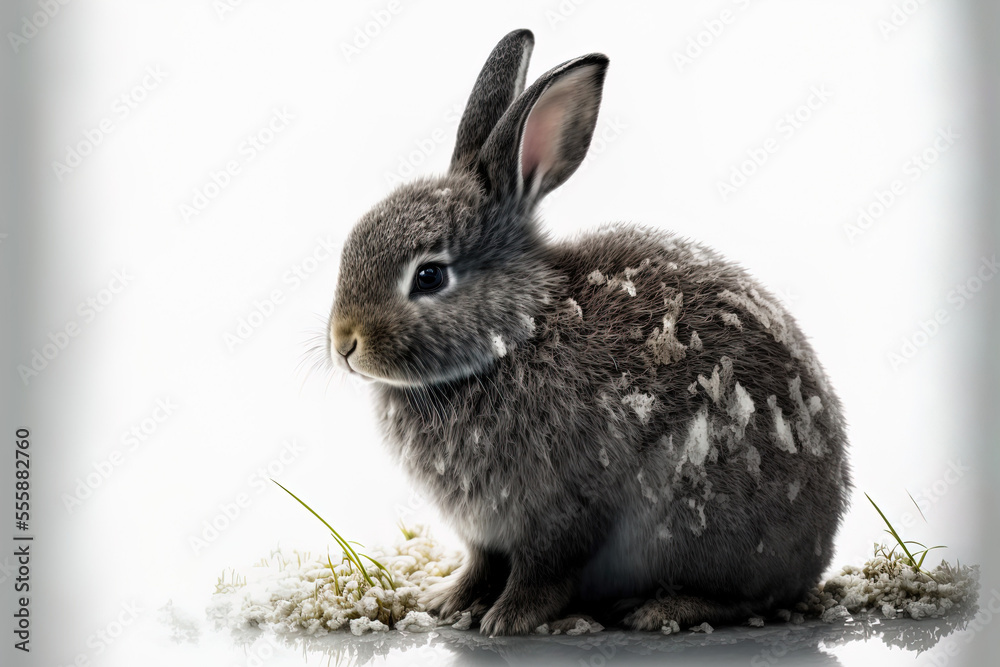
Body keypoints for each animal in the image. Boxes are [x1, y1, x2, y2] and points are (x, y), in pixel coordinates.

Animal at [328, 28, 851, 636]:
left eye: (429, 275)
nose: (344, 344)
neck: (519, 331)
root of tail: (819, 551)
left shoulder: (559, 511)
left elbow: (542, 572)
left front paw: (506, 620)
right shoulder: (484, 534)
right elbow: (481, 565)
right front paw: (446, 602)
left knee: (747, 598)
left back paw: (660, 610)